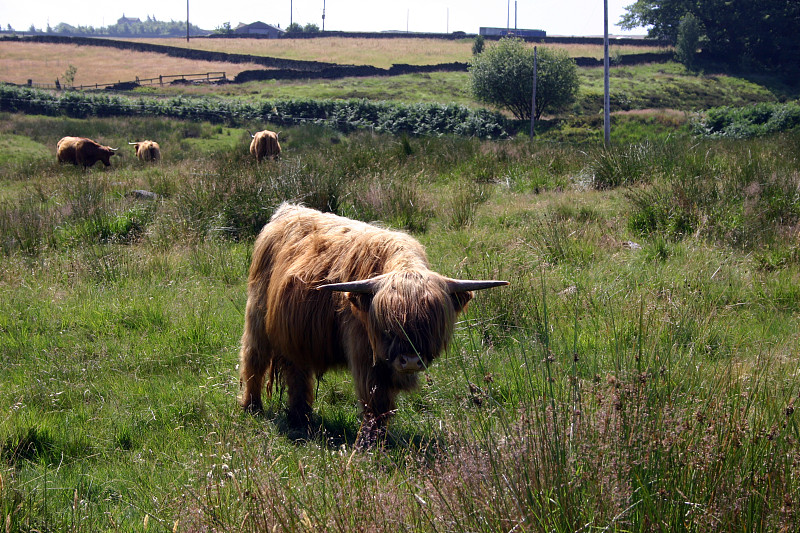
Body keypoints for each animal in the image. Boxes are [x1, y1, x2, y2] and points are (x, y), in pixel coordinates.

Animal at [241, 203, 510, 444]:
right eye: (388, 326)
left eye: (430, 325)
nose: (410, 361)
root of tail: (287, 210)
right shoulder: (364, 354)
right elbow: (375, 400)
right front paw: (369, 442)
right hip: (257, 316)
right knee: (254, 359)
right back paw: (252, 407)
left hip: (297, 334)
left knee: (297, 373)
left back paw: (300, 418)